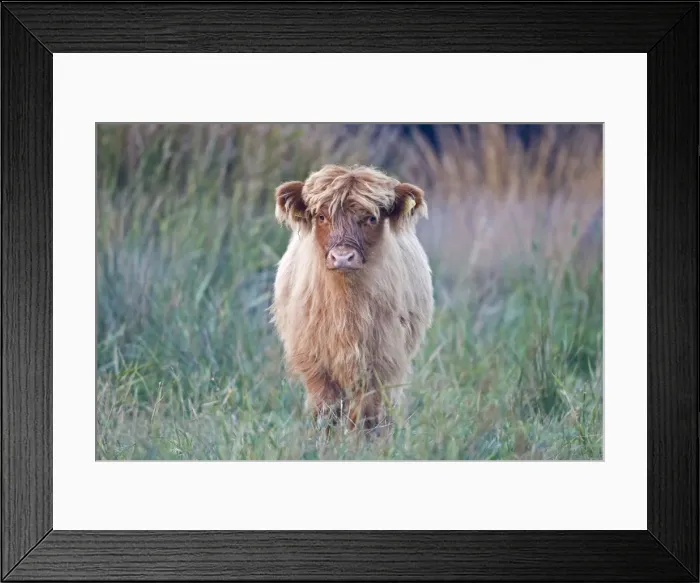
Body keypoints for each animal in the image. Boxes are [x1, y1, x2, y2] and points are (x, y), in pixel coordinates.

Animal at [270, 164, 434, 435]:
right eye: (321, 217)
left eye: (371, 218)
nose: (343, 257)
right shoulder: (315, 362)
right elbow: (326, 410)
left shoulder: (380, 361)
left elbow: (366, 414)